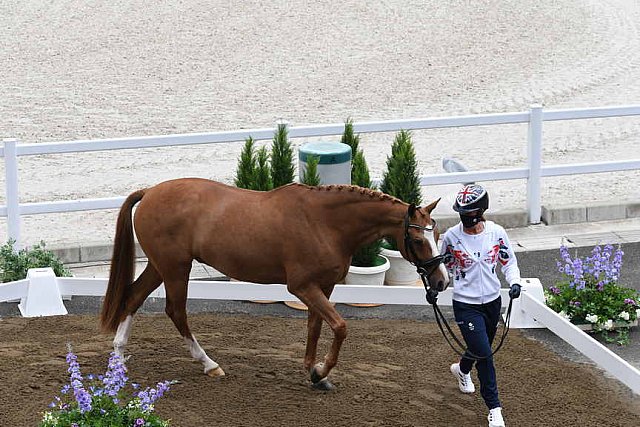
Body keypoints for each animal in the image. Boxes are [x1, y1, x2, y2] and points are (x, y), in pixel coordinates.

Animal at [101, 179, 450, 390]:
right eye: (418, 239)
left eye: (436, 233)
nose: (441, 280)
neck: (325, 223)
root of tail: (149, 192)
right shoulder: (302, 287)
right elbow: (340, 327)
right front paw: (321, 371)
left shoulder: (323, 287)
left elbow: (315, 327)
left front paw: (314, 373)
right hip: (175, 268)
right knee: (176, 311)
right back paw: (209, 364)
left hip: (161, 266)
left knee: (133, 298)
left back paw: (118, 361)